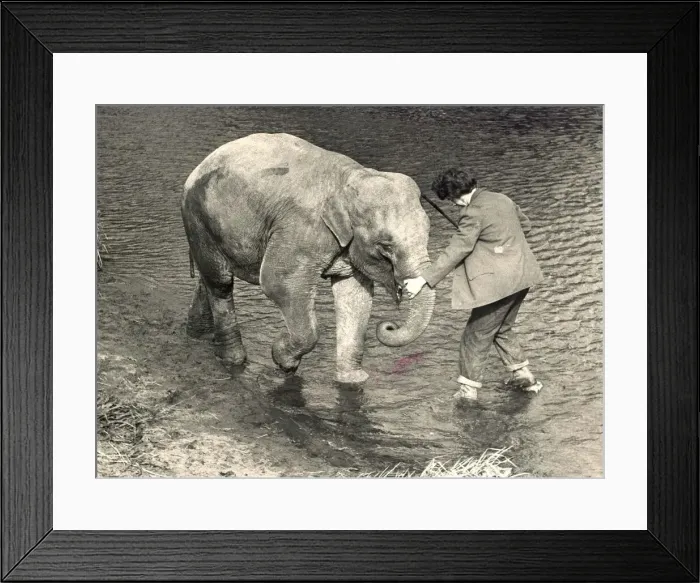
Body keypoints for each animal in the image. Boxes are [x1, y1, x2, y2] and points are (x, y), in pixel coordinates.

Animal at [181, 132, 435, 383]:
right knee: (221, 284)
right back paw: (233, 360)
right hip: (198, 219)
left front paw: (353, 380)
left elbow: (355, 297)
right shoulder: (300, 229)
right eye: (385, 247)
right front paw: (283, 361)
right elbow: (278, 284)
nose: (389, 325)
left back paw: (196, 335)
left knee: (208, 279)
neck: (351, 177)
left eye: (428, 232)